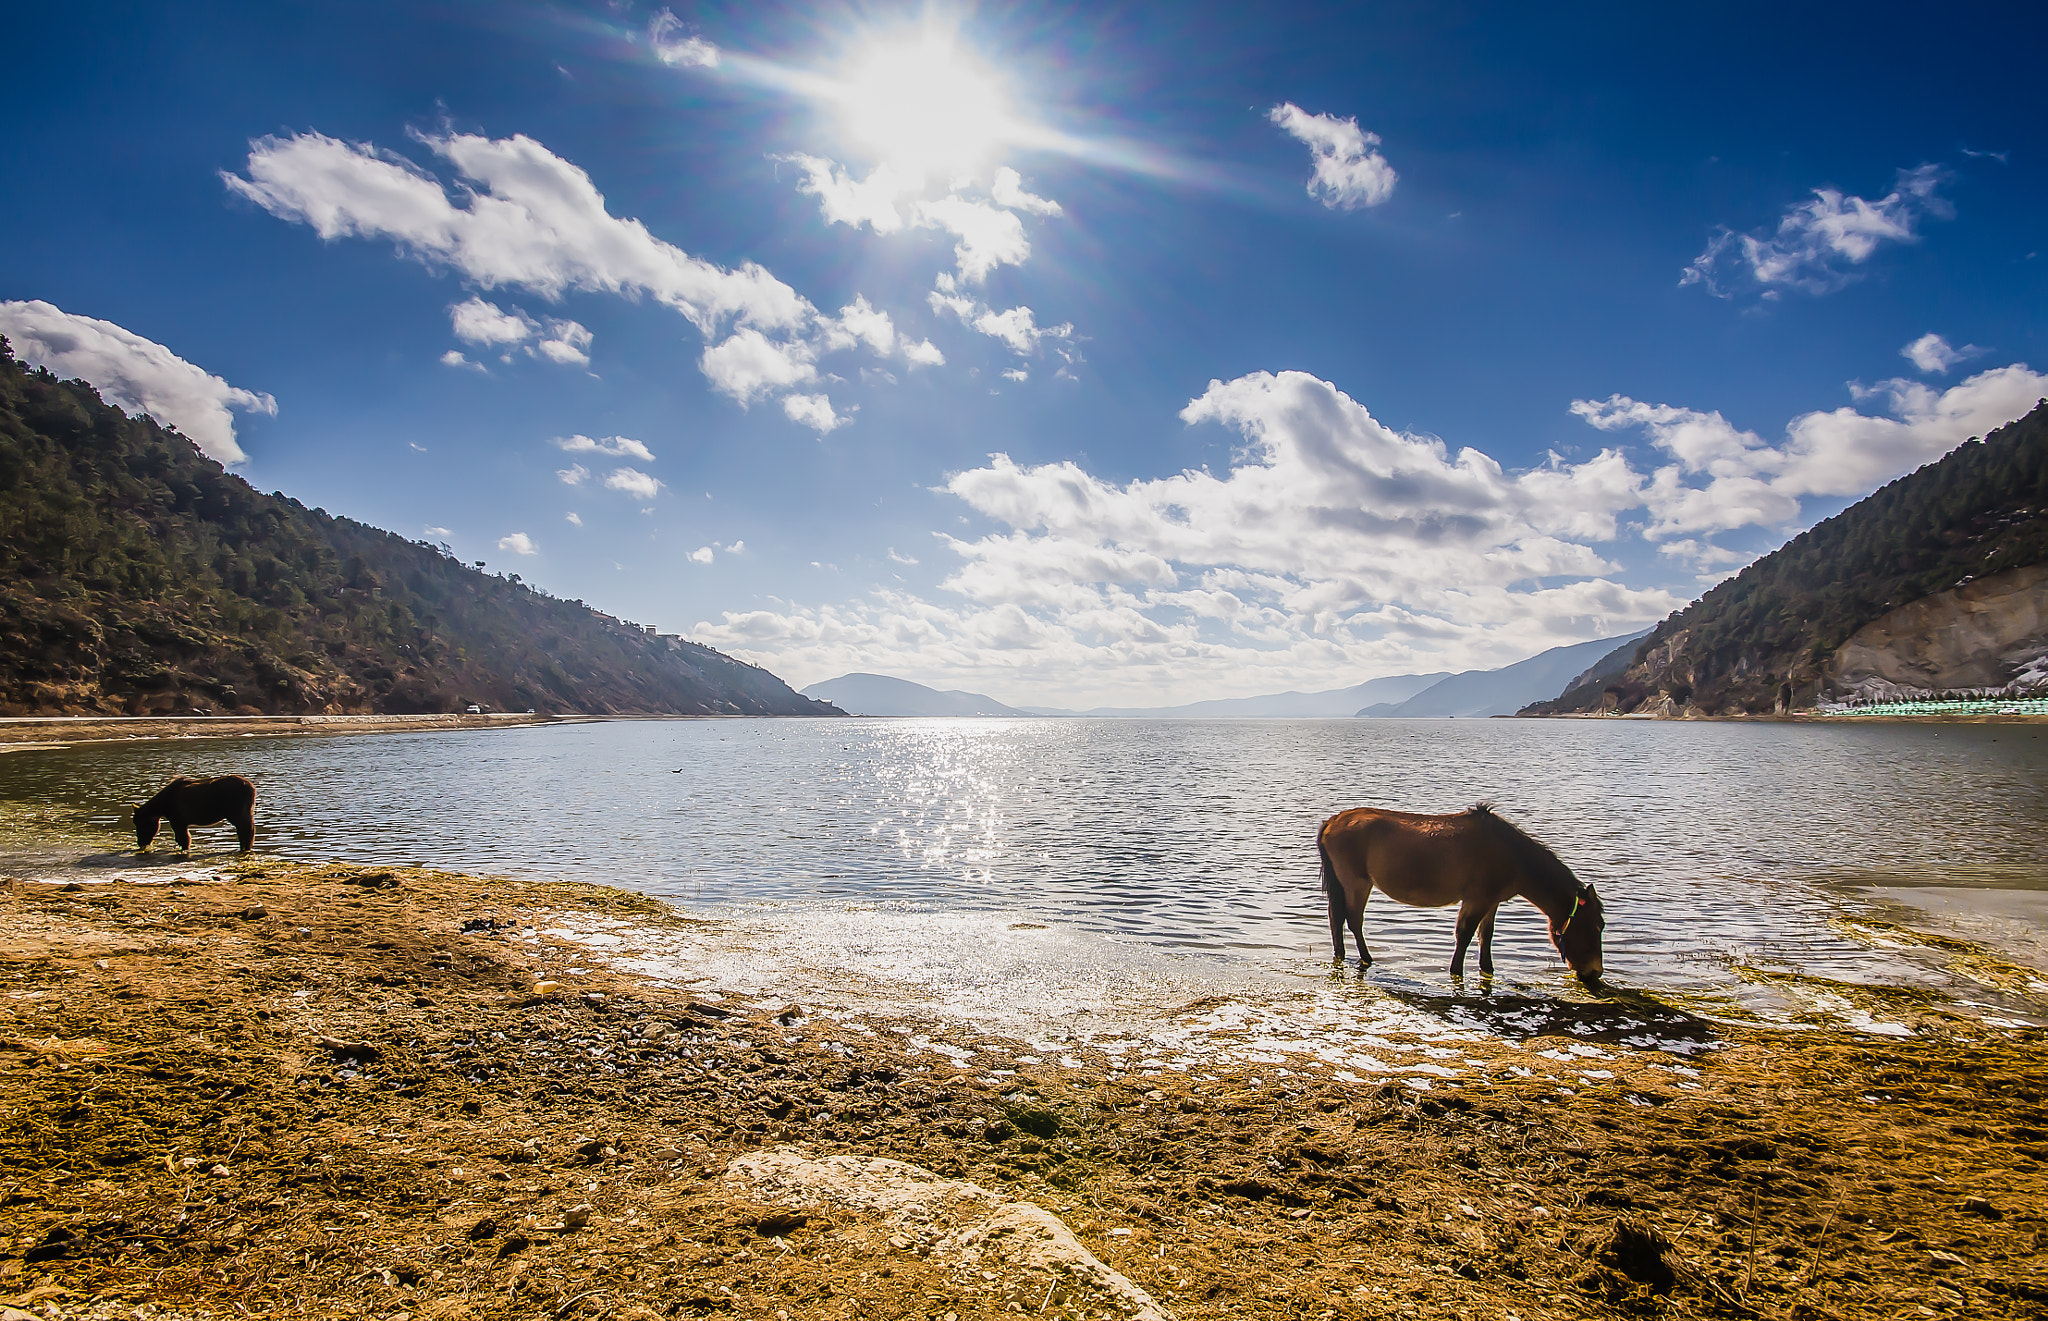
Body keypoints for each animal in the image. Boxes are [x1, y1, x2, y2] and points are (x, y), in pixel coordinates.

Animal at [1318, 802, 1605, 978]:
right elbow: (1465, 934)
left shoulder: (1491, 902)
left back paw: (1342, 953)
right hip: (1357, 883)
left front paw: (1487, 968)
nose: (1595, 972)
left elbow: (1485, 936)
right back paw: (1366, 958)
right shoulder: (1477, 900)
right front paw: (1456, 970)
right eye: (1597, 925)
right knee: (1353, 919)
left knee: (1336, 918)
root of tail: (1333, 821)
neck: (1514, 855)